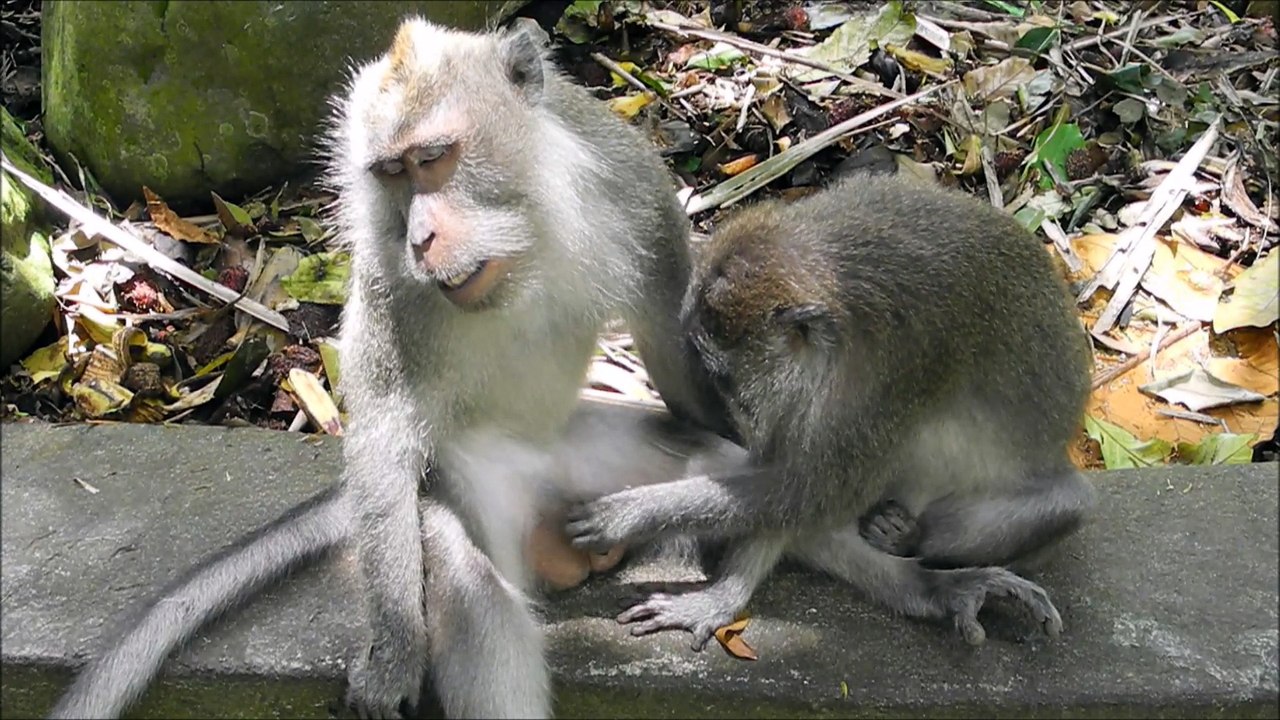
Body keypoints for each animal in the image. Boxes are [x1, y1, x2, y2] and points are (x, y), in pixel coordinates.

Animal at [49, 18, 737, 720]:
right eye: (389, 173)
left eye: (432, 158)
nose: (422, 236)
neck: (523, 246)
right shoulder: (385, 271)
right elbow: (384, 430)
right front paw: (396, 650)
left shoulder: (637, 197)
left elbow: (675, 360)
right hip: (462, 486)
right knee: (471, 584)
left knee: (709, 461)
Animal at [565, 173, 1098, 651]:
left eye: (723, 377)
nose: (734, 417)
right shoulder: (804, 394)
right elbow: (790, 485)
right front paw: (722, 598)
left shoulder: (893, 371)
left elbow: (808, 491)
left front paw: (635, 511)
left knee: (1068, 504)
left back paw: (908, 538)